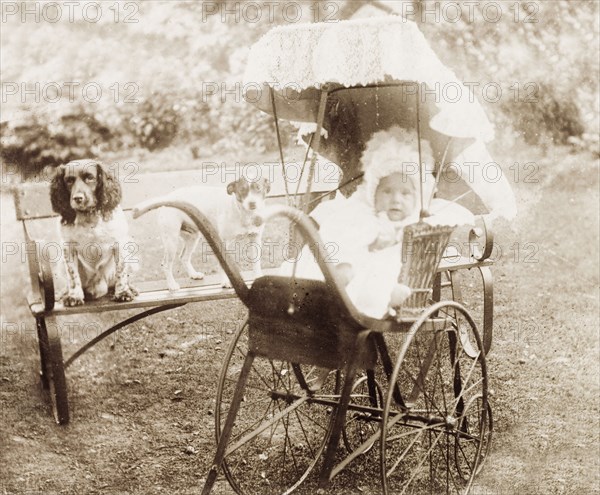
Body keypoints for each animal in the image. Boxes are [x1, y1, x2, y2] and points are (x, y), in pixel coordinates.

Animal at [49, 160, 138, 306]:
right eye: (69, 180)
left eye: (90, 177)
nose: (78, 198)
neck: (88, 217)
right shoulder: (68, 246)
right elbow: (72, 275)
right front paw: (74, 296)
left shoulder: (120, 243)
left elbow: (121, 271)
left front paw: (123, 293)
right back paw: (64, 293)